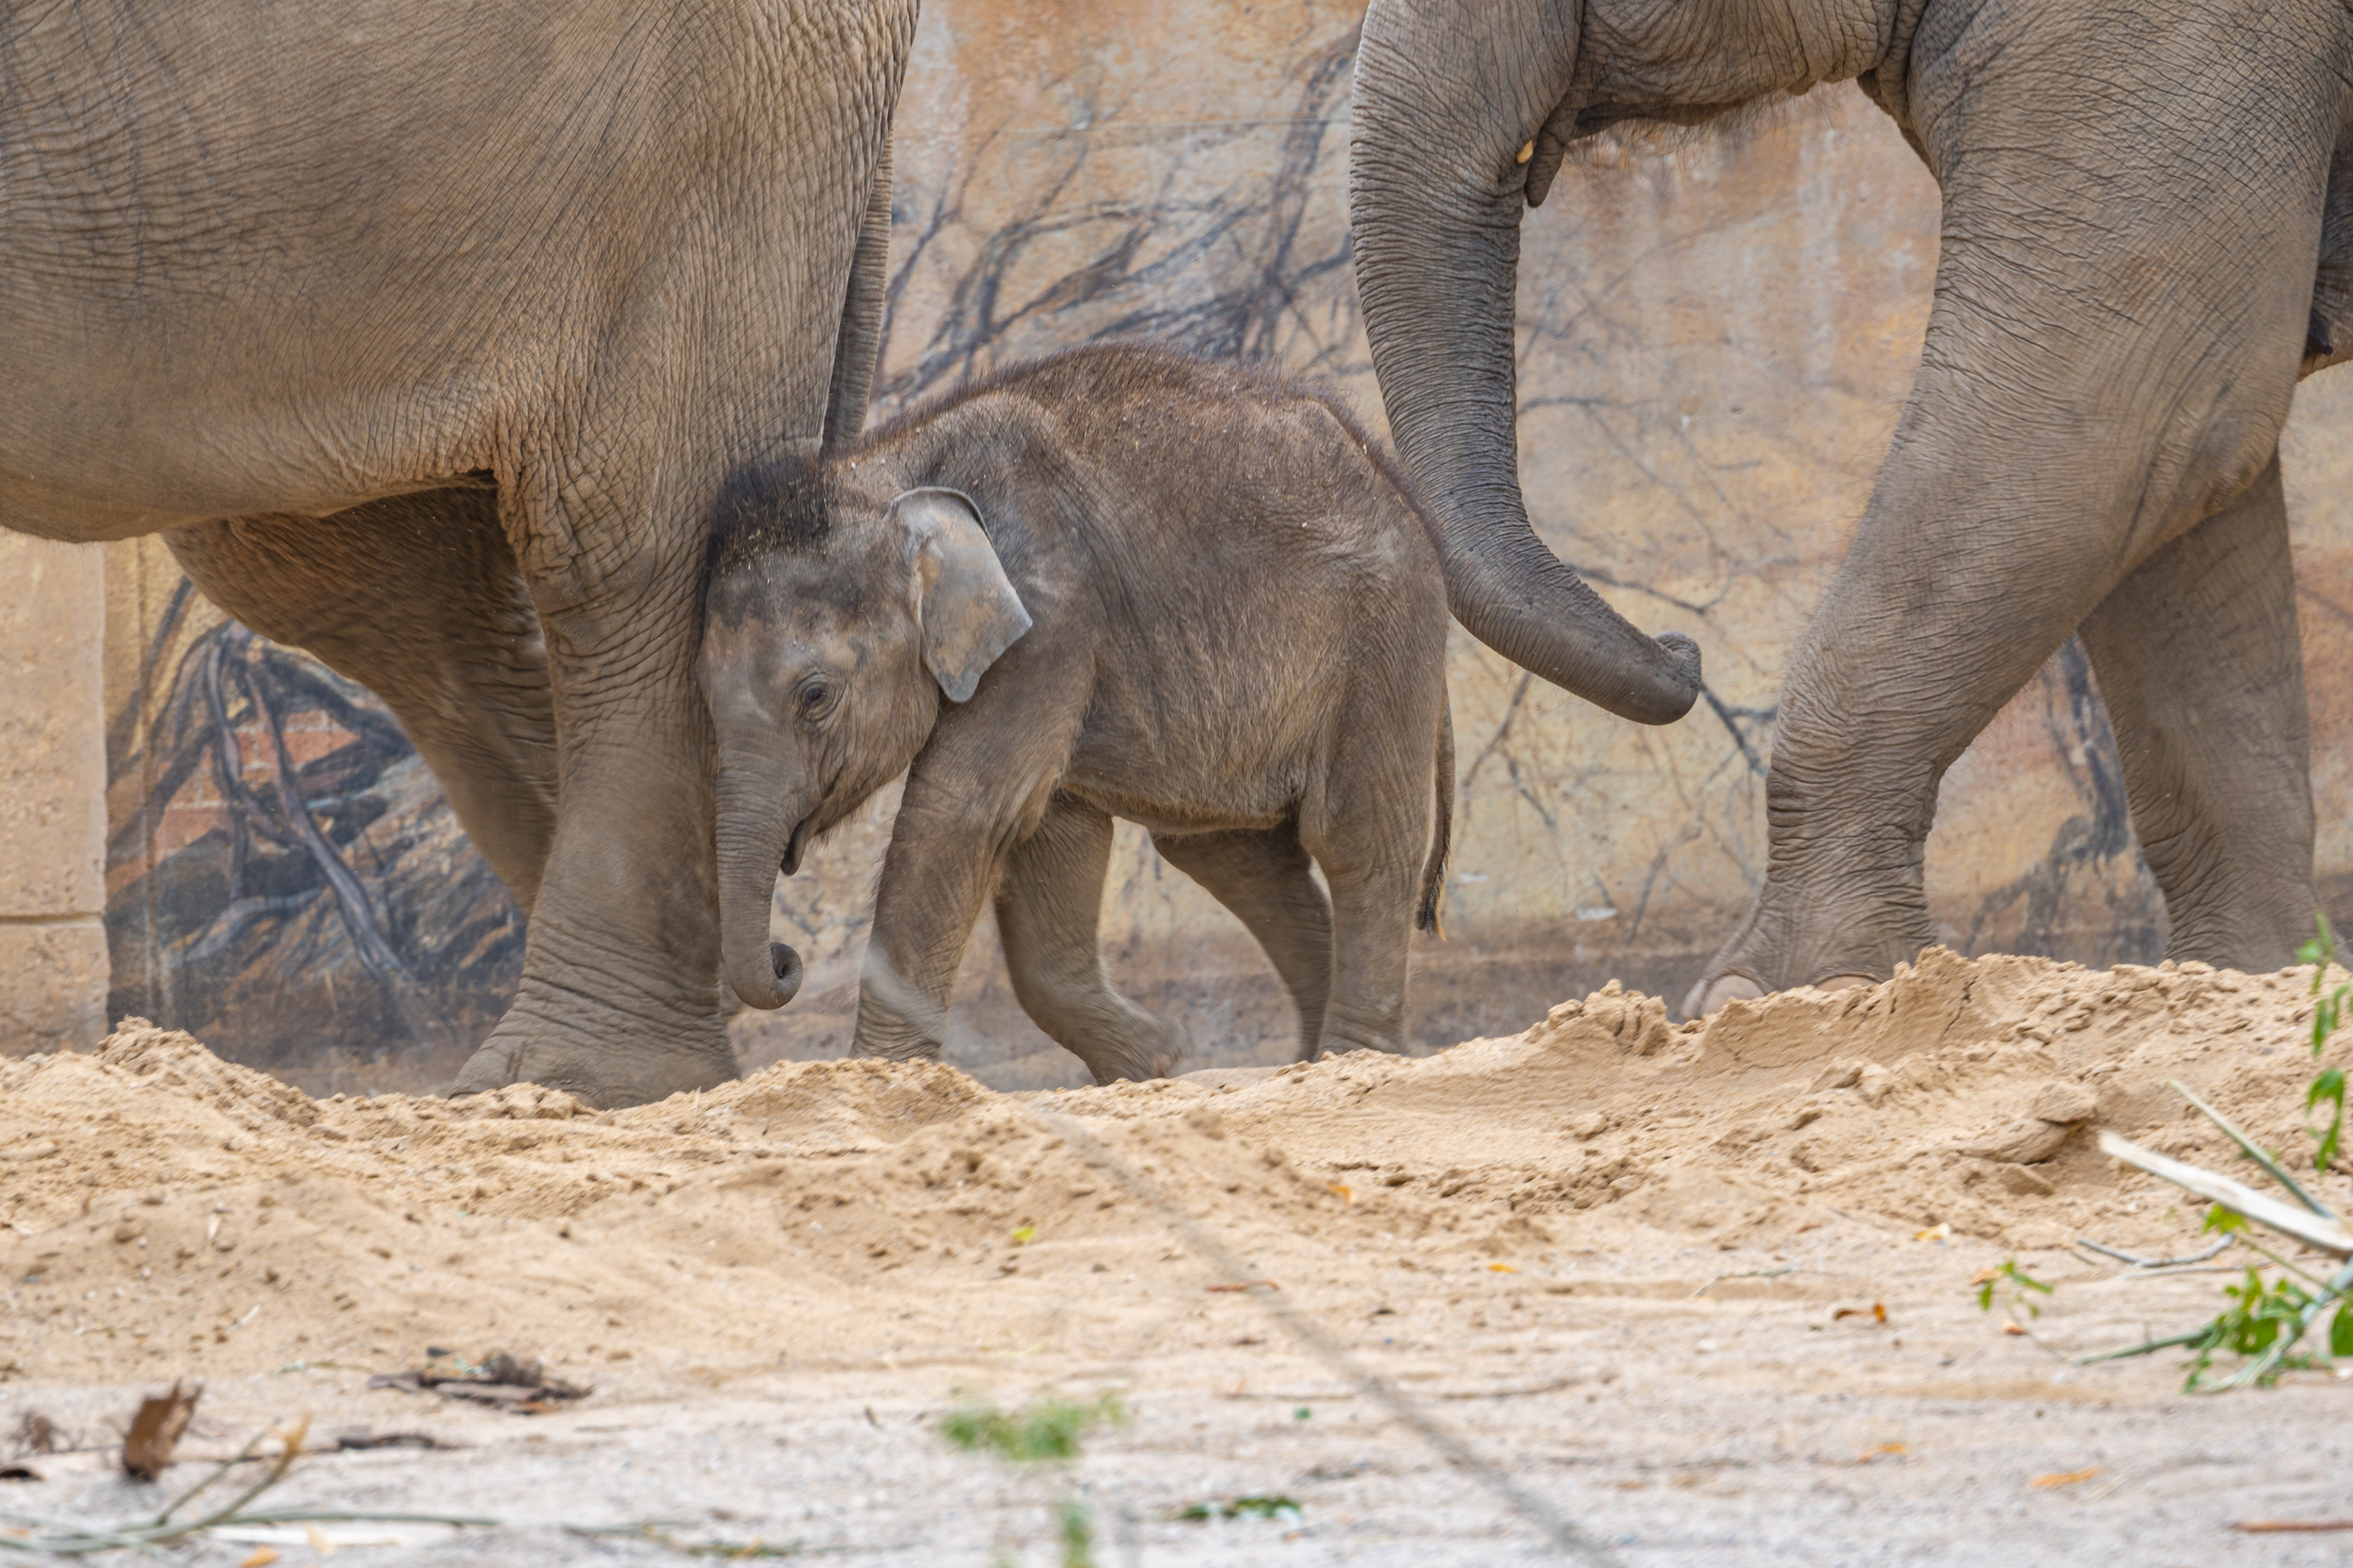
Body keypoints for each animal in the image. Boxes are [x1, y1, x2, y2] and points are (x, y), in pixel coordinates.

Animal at [698, 344, 1455, 1081]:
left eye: (814, 697)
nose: (786, 959)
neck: (888, 473)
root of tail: (1403, 492)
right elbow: (1051, 836)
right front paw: (1156, 1060)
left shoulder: (1048, 625)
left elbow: (960, 814)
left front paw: (878, 1079)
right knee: (1236, 854)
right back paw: (1301, 1063)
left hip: (1383, 642)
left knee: (1357, 842)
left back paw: (1350, 1060)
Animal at [1346, 0, 2353, 1012]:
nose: (1682, 652)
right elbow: (2189, 454)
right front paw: (2255, 980)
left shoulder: (2160, 42)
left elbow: (2110, 408)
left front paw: (1781, 994)